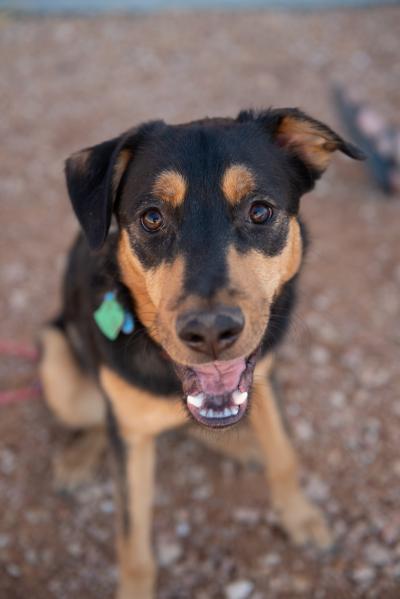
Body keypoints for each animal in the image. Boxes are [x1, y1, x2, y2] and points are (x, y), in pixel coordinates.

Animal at [39, 109, 364, 599]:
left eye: (260, 211)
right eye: (152, 217)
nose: (210, 332)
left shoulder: (264, 374)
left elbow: (284, 454)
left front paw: (301, 517)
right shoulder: (129, 437)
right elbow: (133, 543)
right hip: (58, 366)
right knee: (99, 415)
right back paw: (79, 459)